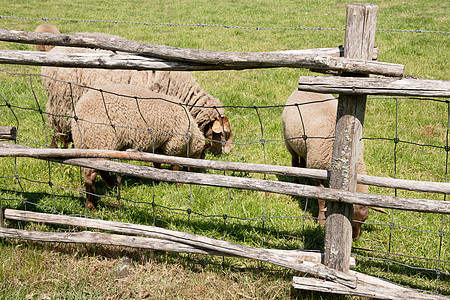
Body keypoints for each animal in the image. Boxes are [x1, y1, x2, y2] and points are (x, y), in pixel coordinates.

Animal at [35, 24, 234, 154]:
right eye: (224, 134)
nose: (229, 152)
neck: (181, 90)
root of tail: (53, 50)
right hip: (61, 103)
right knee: (57, 128)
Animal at [72, 82, 207, 209]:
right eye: (202, 156)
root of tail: (79, 112)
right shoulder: (173, 145)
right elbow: (175, 166)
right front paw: (180, 185)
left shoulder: (158, 145)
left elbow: (157, 164)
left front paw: (157, 179)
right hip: (100, 140)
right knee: (90, 174)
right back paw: (92, 205)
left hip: (91, 144)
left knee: (101, 169)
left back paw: (113, 186)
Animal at [282, 89, 384, 239]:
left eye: (364, 219)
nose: (354, 238)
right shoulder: (317, 169)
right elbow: (321, 200)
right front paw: (321, 221)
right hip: (289, 142)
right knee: (294, 161)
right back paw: (297, 182)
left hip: (303, 147)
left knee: (302, 162)